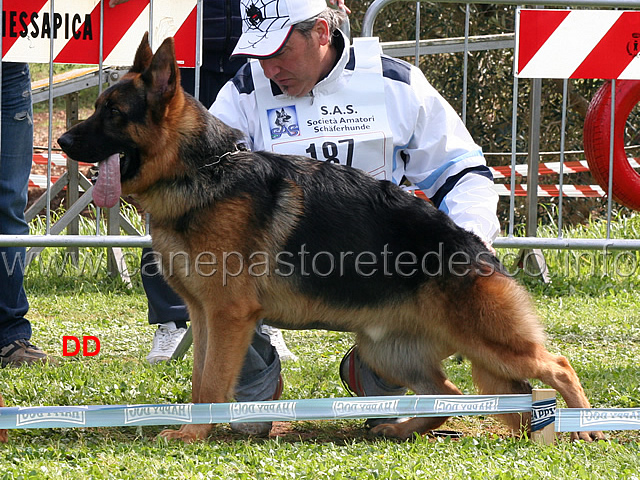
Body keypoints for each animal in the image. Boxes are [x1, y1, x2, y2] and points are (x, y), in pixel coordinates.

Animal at [57, 35, 604, 444]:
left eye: (113, 113)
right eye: (98, 107)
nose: (62, 141)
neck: (202, 170)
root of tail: (476, 248)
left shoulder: (228, 315)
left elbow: (212, 383)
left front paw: (195, 436)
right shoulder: (203, 315)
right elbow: (197, 380)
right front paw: (194, 428)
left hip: (488, 339)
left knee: (558, 365)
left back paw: (587, 428)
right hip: (389, 351)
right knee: (451, 395)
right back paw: (400, 427)